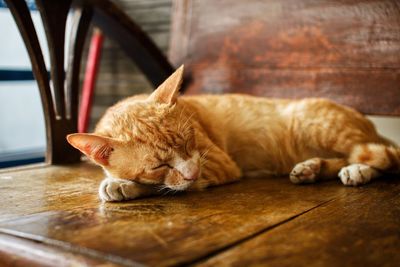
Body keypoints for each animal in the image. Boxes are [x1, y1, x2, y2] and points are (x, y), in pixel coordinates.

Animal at [67, 66, 398, 202]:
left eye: (188, 142)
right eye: (159, 164)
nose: (191, 171)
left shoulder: (216, 164)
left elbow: (169, 187)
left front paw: (121, 185)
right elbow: (165, 183)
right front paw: (118, 181)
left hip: (318, 124)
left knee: (380, 157)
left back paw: (358, 170)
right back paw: (311, 168)